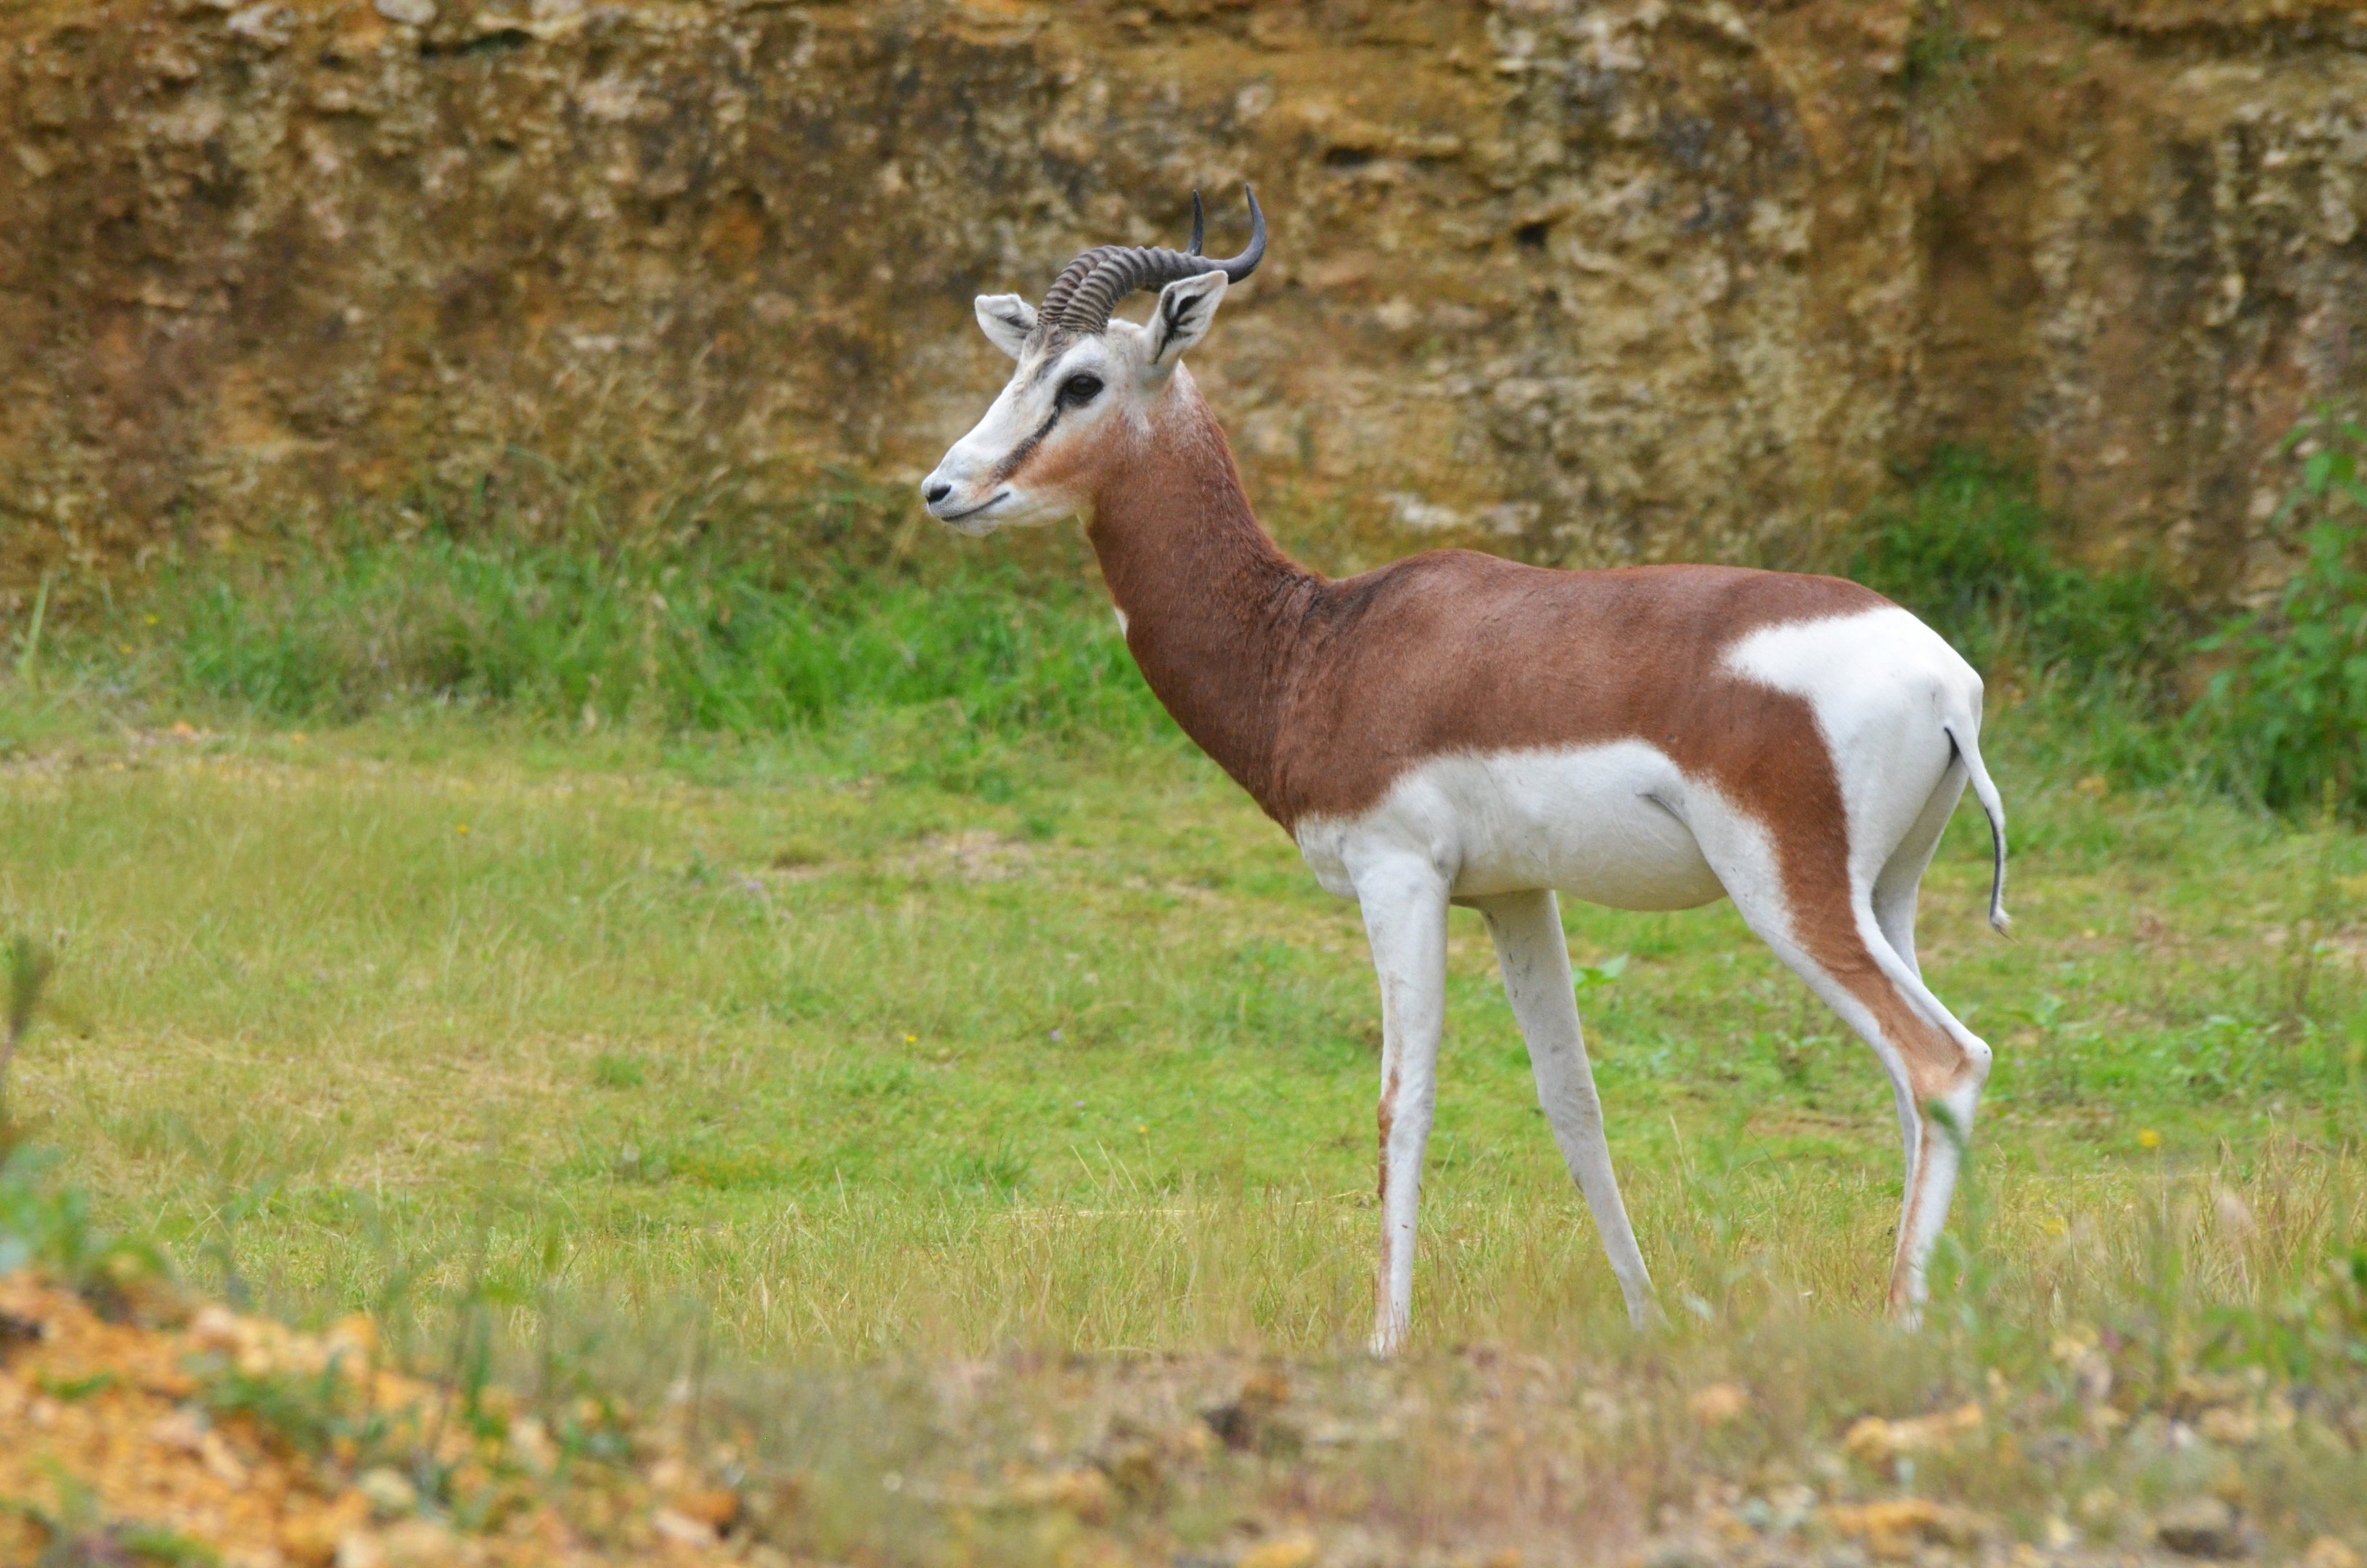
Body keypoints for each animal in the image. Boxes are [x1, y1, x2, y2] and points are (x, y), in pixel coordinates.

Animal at [921, 191, 2009, 1353]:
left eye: (1080, 381)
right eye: (1018, 364)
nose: (943, 489)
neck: (1320, 646)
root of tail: (1946, 683)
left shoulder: (1399, 876)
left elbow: (1403, 1102)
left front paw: (1383, 1342)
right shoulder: (1515, 896)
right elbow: (1573, 1100)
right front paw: (1645, 1316)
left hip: (1789, 895)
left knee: (1944, 1061)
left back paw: (1900, 1326)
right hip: (1884, 898)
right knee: (1913, 1087)